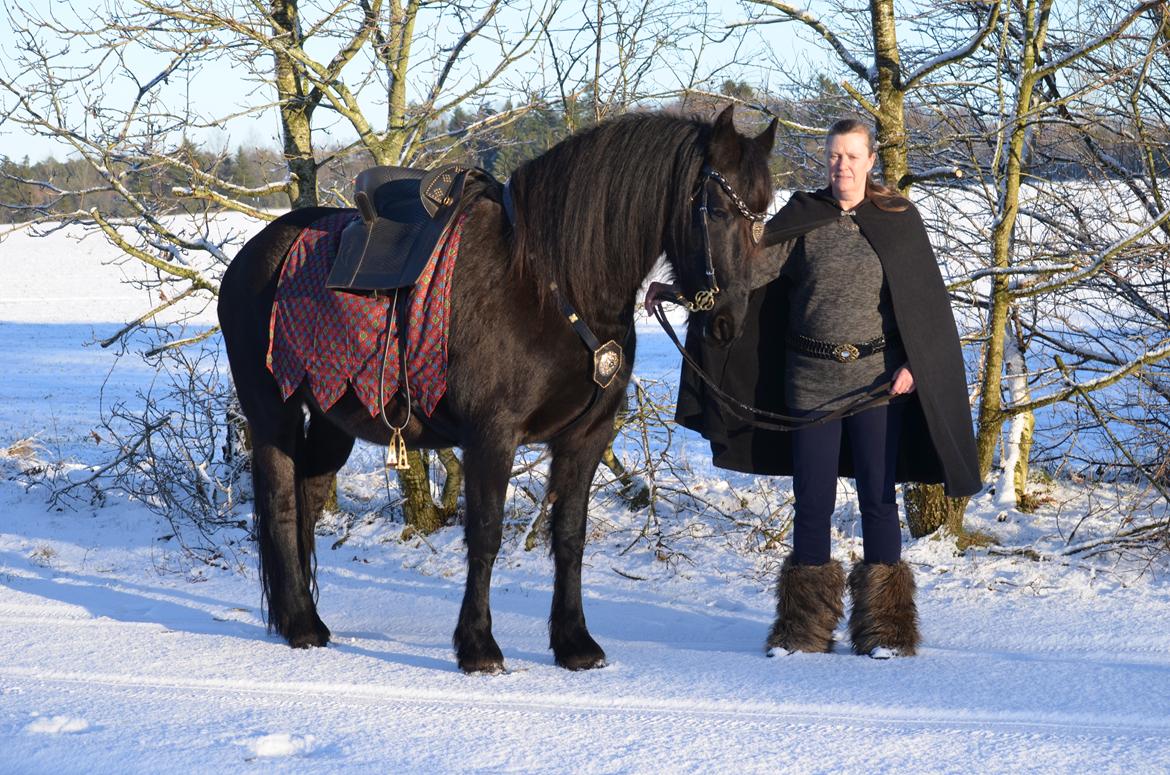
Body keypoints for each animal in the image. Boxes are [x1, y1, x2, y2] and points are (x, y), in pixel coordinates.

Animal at [217, 104, 776, 674]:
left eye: (762, 214)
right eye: (716, 210)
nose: (729, 321)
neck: (551, 285)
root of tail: (252, 257)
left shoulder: (586, 438)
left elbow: (569, 536)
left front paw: (575, 642)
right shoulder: (493, 436)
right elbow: (485, 534)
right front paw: (479, 647)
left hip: (335, 418)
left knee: (308, 501)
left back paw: (307, 619)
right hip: (273, 414)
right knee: (282, 505)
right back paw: (300, 626)